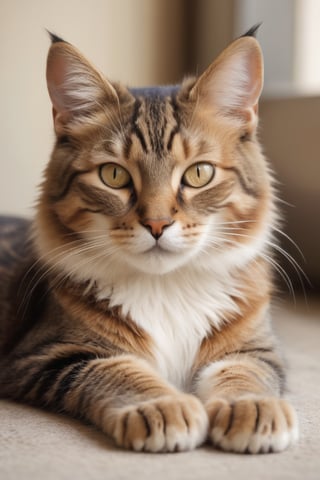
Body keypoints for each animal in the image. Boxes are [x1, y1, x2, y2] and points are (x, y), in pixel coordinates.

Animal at [0, 26, 298, 454]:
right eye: (113, 176)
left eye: (199, 174)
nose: (157, 224)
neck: (166, 286)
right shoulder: (48, 354)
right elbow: (120, 371)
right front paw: (163, 407)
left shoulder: (256, 348)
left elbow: (244, 374)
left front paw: (253, 407)